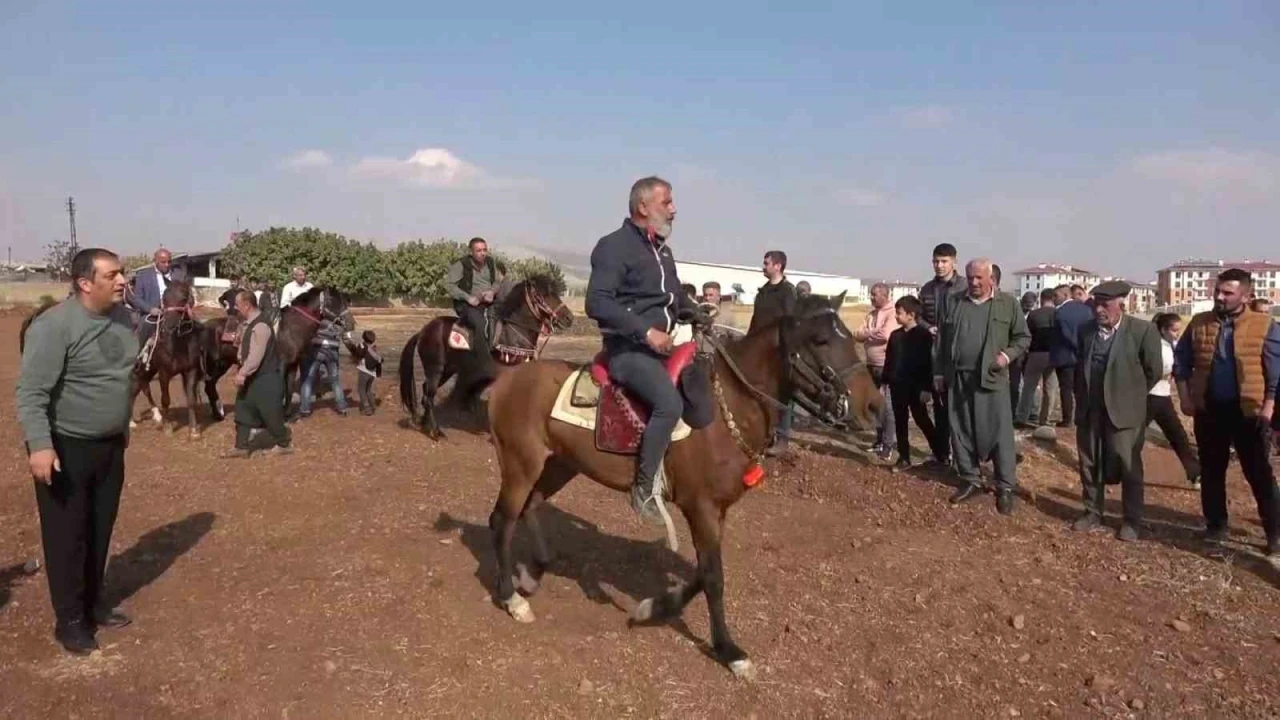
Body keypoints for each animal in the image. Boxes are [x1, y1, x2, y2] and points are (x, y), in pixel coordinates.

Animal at [396, 272, 573, 438]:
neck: (512, 332)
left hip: (447, 370)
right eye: (542, 295)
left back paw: (425, 424)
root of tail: (422, 331)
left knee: (426, 392)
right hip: (435, 368)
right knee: (428, 396)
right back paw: (435, 431)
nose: (569, 318)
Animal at [483, 288, 865, 676]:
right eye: (820, 340)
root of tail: (506, 381)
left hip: (560, 464)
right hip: (520, 464)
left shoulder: (716, 510)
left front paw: (653, 608)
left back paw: (532, 573)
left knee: (530, 505)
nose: (870, 407)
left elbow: (702, 571)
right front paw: (729, 650)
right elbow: (713, 576)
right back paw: (512, 599)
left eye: (850, 337)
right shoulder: (701, 507)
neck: (725, 408)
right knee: (502, 520)